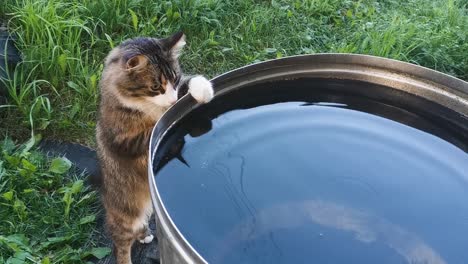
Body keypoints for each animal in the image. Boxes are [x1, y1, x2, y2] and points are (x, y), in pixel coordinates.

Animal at [96, 32, 213, 264]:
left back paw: (145, 235)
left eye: (174, 79)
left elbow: (188, 85)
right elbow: (152, 129)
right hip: (125, 214)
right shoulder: (122, 140)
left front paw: (202, 88)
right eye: (155, 87)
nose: (172, 101)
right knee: (120, 242)